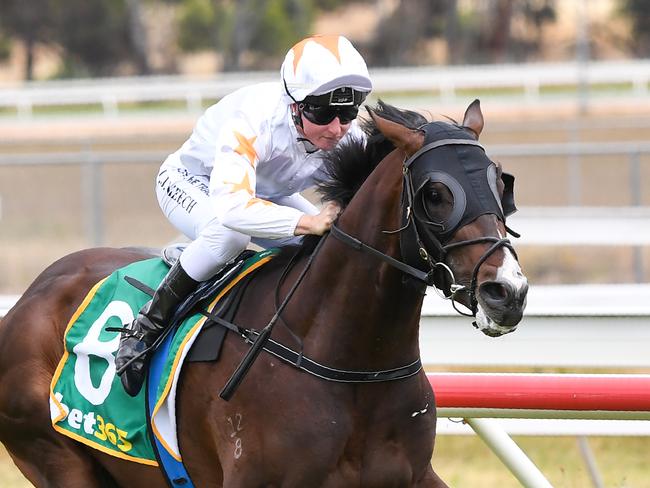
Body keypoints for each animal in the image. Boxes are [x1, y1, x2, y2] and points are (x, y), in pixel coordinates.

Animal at [0, 98, 528, 484]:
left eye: (501, 183)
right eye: (435, 194)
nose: (507, 292)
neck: (351, 365)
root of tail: (26, 299)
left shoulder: (414, 476)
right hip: (56, 457)